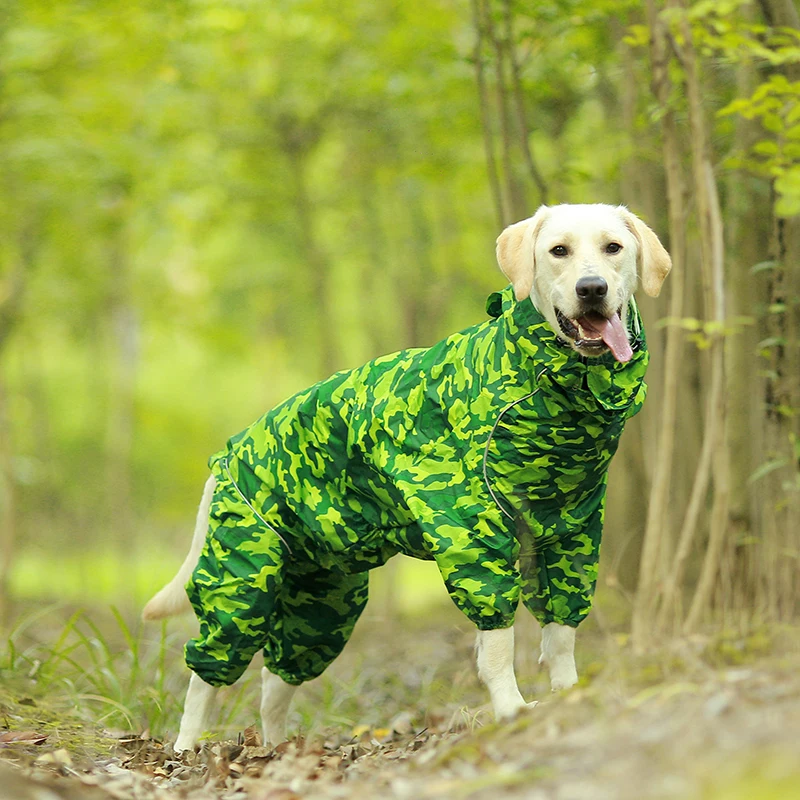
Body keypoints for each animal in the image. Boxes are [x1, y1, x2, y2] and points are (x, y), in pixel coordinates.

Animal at [144, 202, 668, 752]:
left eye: (613, 247)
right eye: (558, 250)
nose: (592, 288)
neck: (553, 381)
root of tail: (230, 451)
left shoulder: (571, 530)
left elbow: (560, 633)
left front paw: (569, 696)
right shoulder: (472, 533)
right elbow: (498, 647)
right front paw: (511, 710)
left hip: (324, 602)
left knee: (275, 681)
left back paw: (277, 748)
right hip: (242, 580)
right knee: (206, 674)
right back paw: (186, 749)